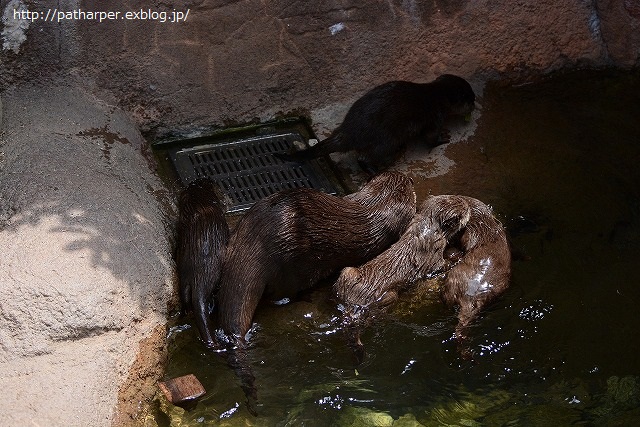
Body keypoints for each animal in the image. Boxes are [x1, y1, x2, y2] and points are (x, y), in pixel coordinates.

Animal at [278, 74, 478, 173]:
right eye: (470, 99)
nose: (475, 105)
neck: (437, 97)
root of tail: (349, 131)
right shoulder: (435, 117)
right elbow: (430, 138)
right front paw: (444, 137)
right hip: (385, 140)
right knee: (364, 158)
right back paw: (376, 170)